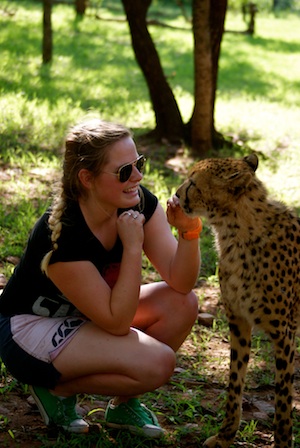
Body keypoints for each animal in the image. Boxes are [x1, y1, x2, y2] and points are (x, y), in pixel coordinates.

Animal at [176, 154, 300, 448]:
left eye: (193, 183)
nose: (175, 194)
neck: (234, 232)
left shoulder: (284, 333)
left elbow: (283, 397)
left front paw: (282, 441)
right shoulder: (239, 321)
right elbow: (234, 381)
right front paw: (225, 436)